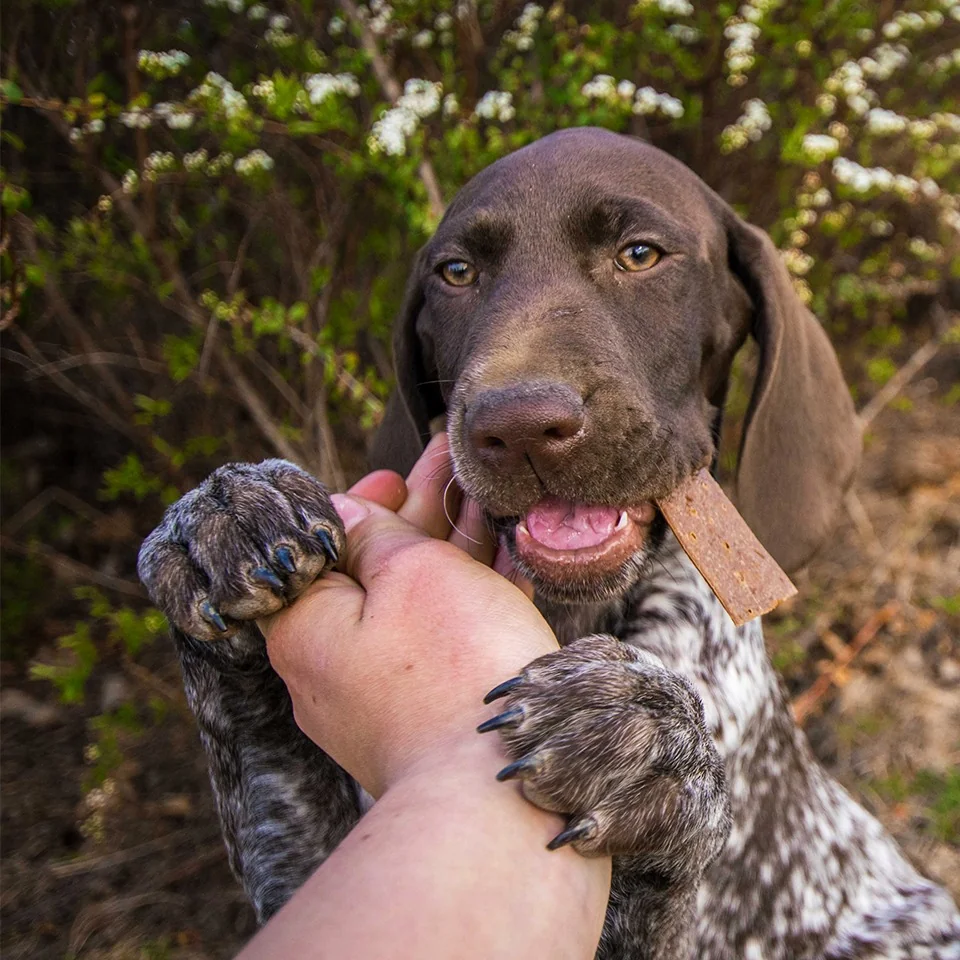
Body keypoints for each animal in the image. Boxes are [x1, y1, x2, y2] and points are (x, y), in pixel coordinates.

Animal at [137, 129, 960, 960]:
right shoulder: (303, 863)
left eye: (639, 254)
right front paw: (225, 513)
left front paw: (652, 745)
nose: (519, 426)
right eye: (456, 273)